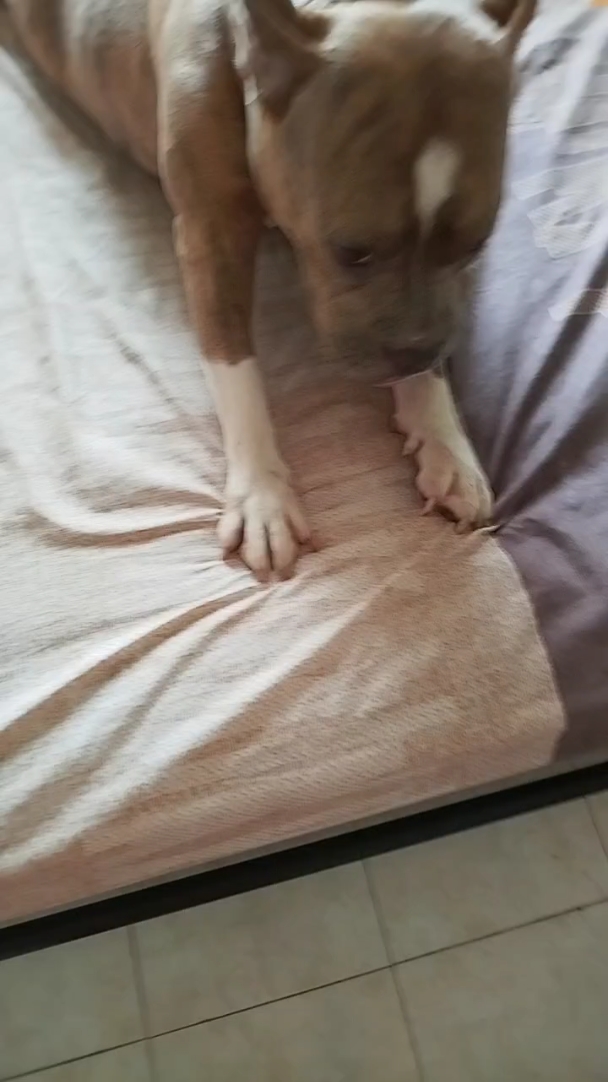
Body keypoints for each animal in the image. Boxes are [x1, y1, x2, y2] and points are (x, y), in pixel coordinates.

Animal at [6, 0, 536, 577]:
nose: (414, 352)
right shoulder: (209, 234)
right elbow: (235, 368)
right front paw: (262, 495)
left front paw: (444, 441)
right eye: (351, 250)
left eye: (475, 245)